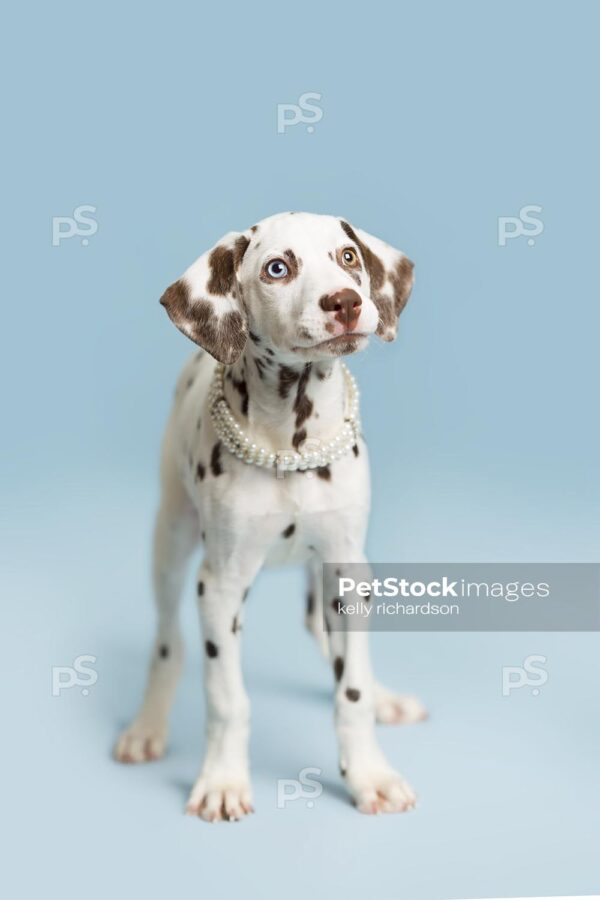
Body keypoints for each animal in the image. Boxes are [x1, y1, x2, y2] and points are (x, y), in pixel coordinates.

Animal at [116, 209, 426, 816]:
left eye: (348, 257)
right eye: (277, 268)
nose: (345, 301)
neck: (290, 442)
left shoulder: (346, 570)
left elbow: (350, 687)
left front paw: (369, 773)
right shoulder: (219, 586)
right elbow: (227, 698)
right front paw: (222, 781)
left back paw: (386, 699)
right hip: (171, 541)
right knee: (167, 643)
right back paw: (147, 725)